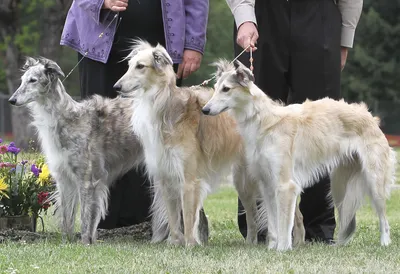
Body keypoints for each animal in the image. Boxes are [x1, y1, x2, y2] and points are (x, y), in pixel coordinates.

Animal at [9, 57, 145, 244]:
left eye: (33, 80)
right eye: (22, 80)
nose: (11, 100)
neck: (66, 118)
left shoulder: (86, 179)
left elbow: (86, 219)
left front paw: (85, 243)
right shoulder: (64, 179)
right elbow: (67, 218)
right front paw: (67, 242)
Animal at [203, 59, 396, 250]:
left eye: (226, 89)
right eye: (216, 87)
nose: (205, 110)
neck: (264, 120)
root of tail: (369, 116)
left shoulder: (285, 185)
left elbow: (283, 225)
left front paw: (282, 250)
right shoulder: (267, 184)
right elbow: (273, 225)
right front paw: (271, 248)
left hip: (373, 180)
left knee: (384, 219)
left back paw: (384, 243)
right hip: (339, 185)